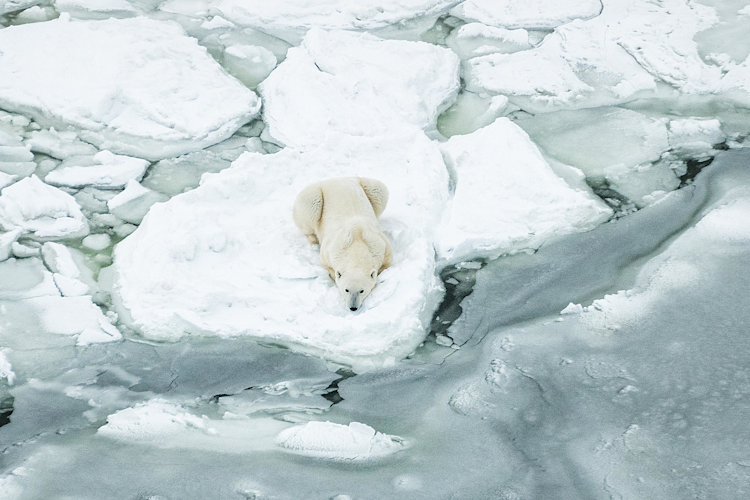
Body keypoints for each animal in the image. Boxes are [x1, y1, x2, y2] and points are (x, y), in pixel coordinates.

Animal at [293, 177, 393, 311]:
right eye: (346, 290)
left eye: (362, 290)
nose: (353, 307)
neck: (357, 241)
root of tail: (335, 179)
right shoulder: (331, 249)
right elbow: (328, 266)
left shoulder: (380, 245)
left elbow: (386, 264)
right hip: (314, 197)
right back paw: (313, 239)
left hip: (368, 186)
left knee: (378, 191)